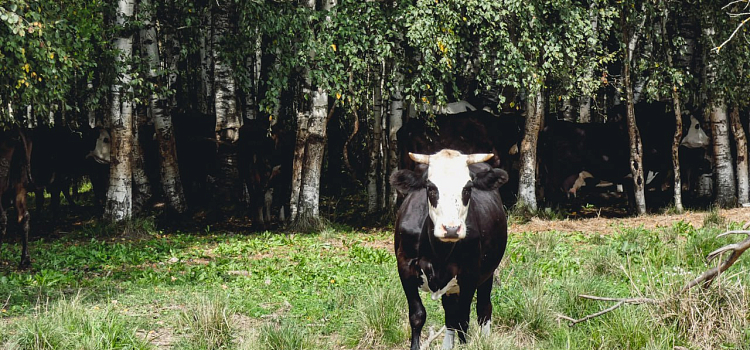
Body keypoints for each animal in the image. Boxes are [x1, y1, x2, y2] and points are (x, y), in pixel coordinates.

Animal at [390, 150, 508, 350]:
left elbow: (463, 318)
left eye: (467, 188)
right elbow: (417, 315)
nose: (451, 229)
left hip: (488, 273)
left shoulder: (470, 273)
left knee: (483, 309)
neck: (438, 252)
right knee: (450, 314)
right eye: (430, 188)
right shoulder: (405, 266)